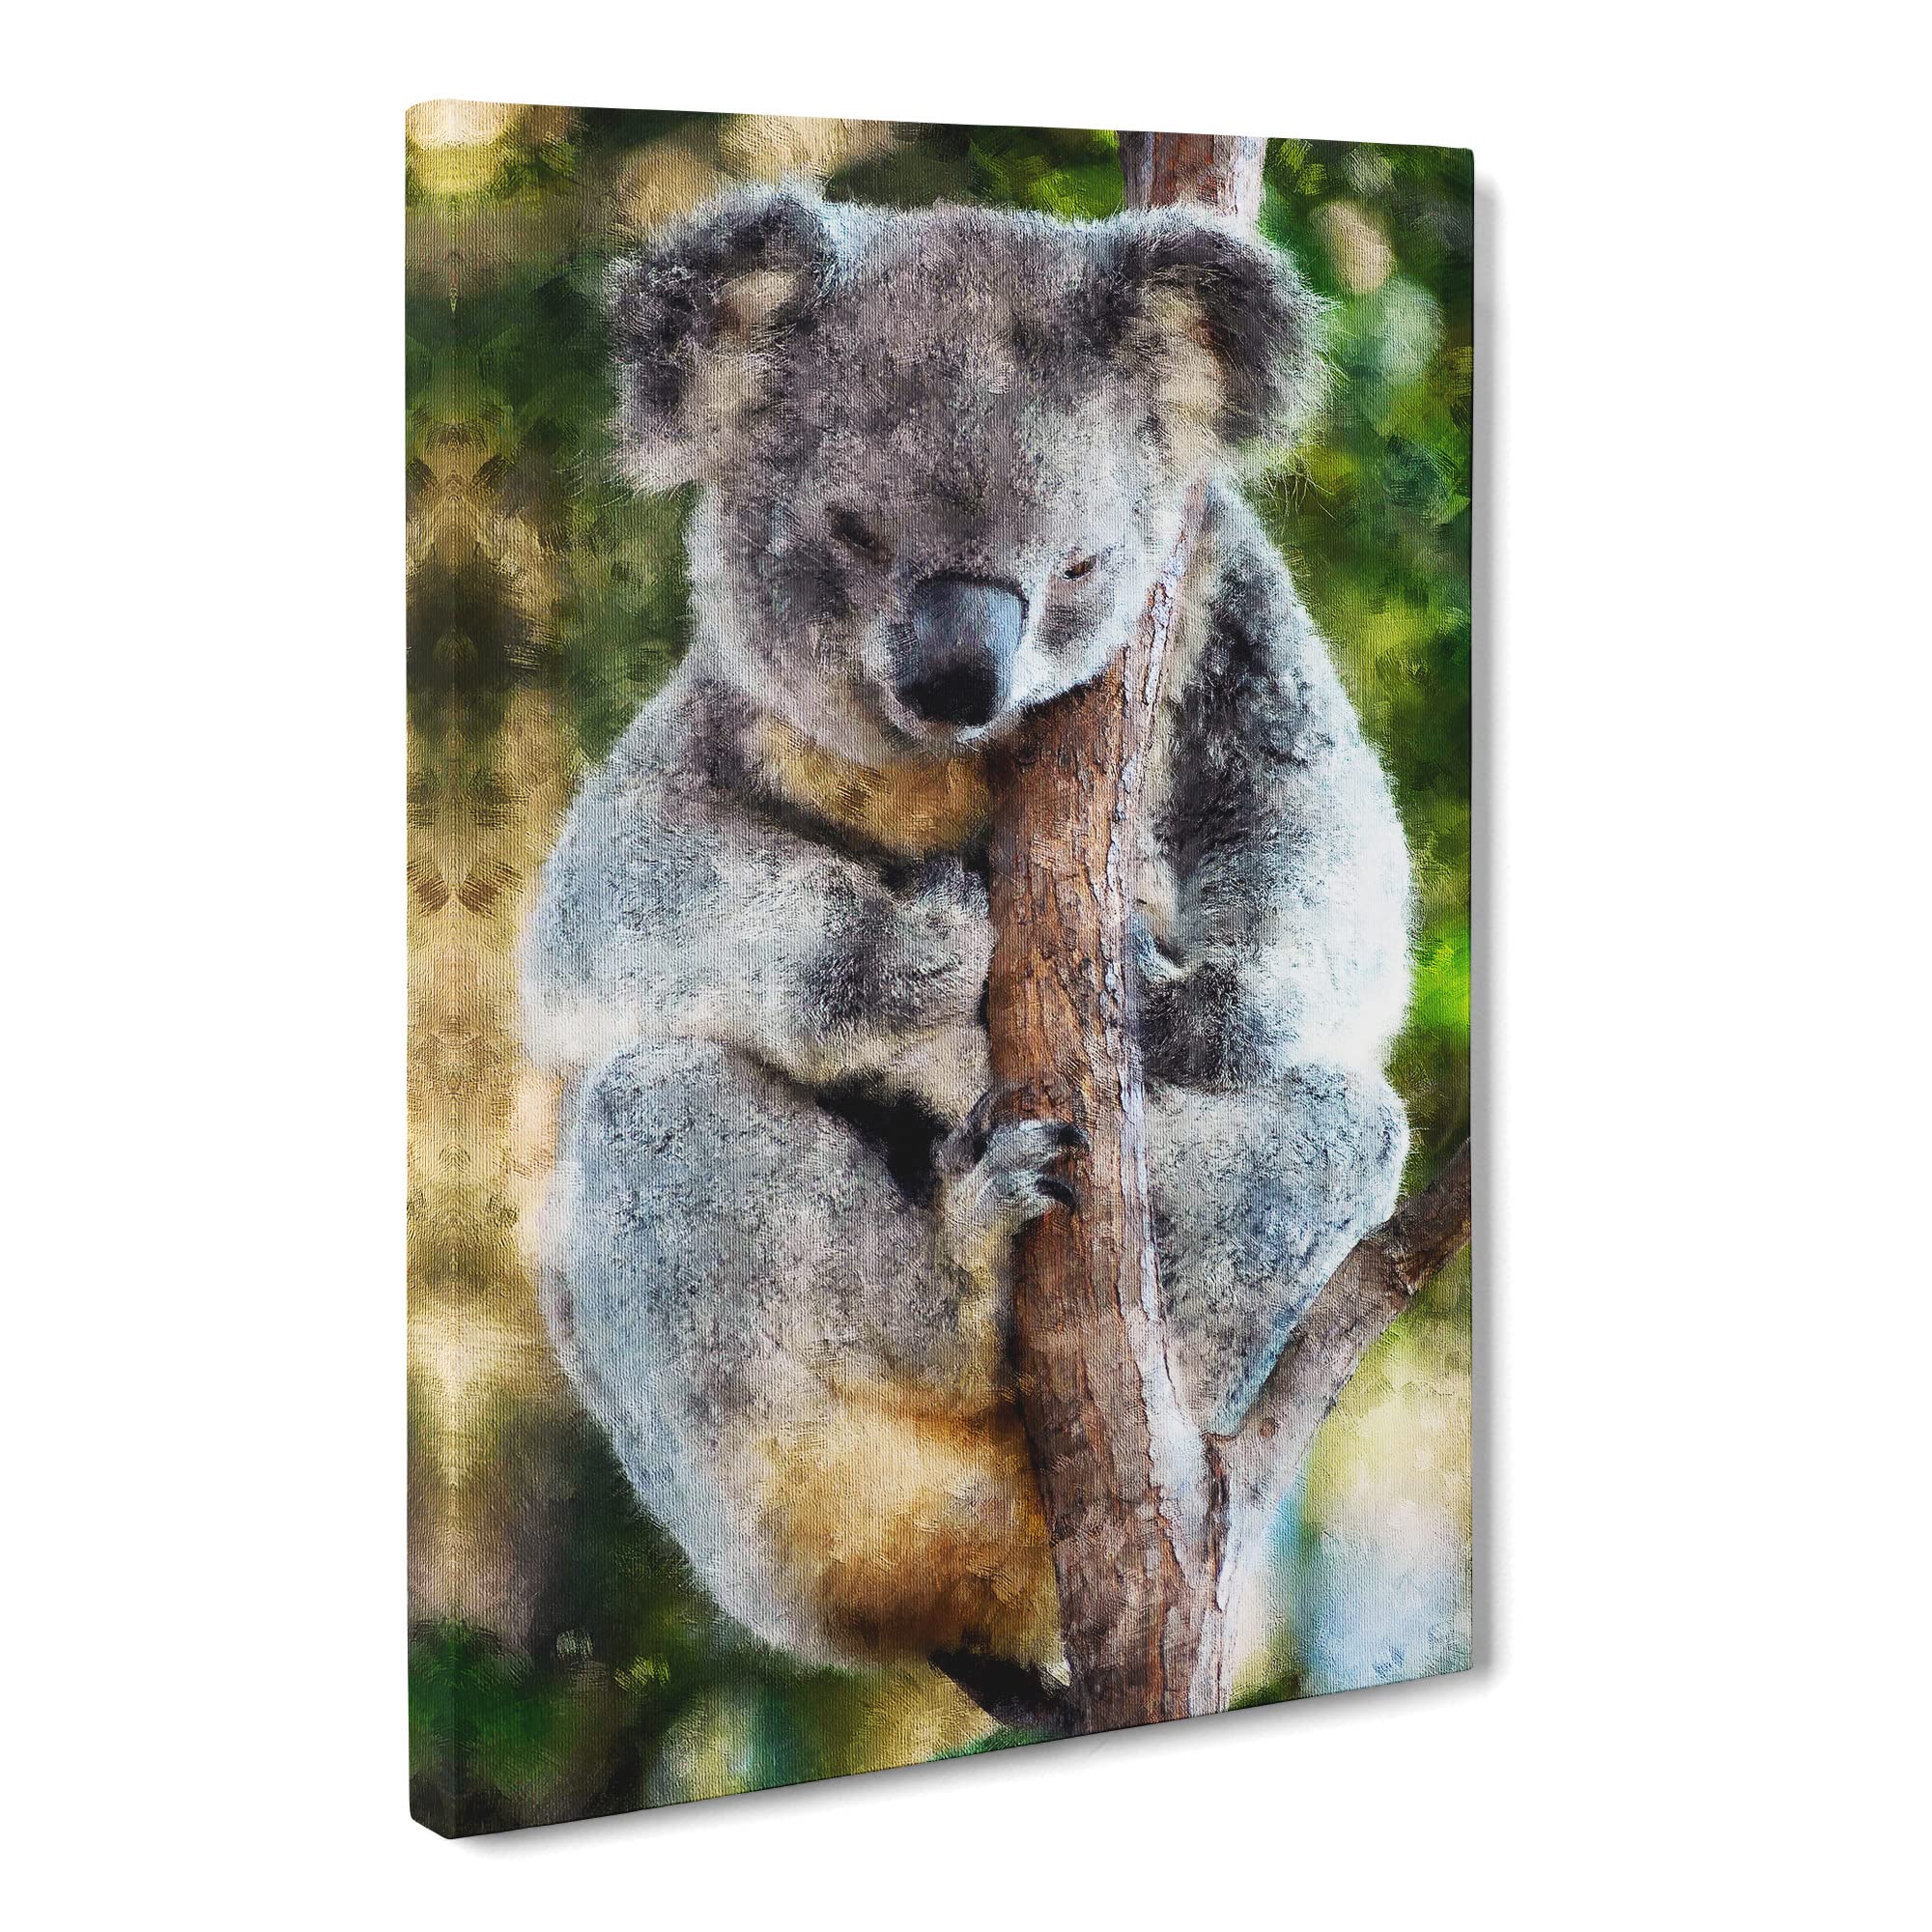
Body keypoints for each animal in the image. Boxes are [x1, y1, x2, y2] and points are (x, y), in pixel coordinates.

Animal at [520, 184, 1412, 1703]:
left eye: (1079, 565)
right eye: (850, 532)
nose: (960, 678)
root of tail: (991, 1618)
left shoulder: (1230, 610)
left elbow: (1328, 856)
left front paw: (1166, 992)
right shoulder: (724, 733)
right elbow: (610, 906)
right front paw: (926, 962)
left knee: (1338, 1128)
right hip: (746, 1480)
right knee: (662, 1107)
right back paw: (961, 1254)